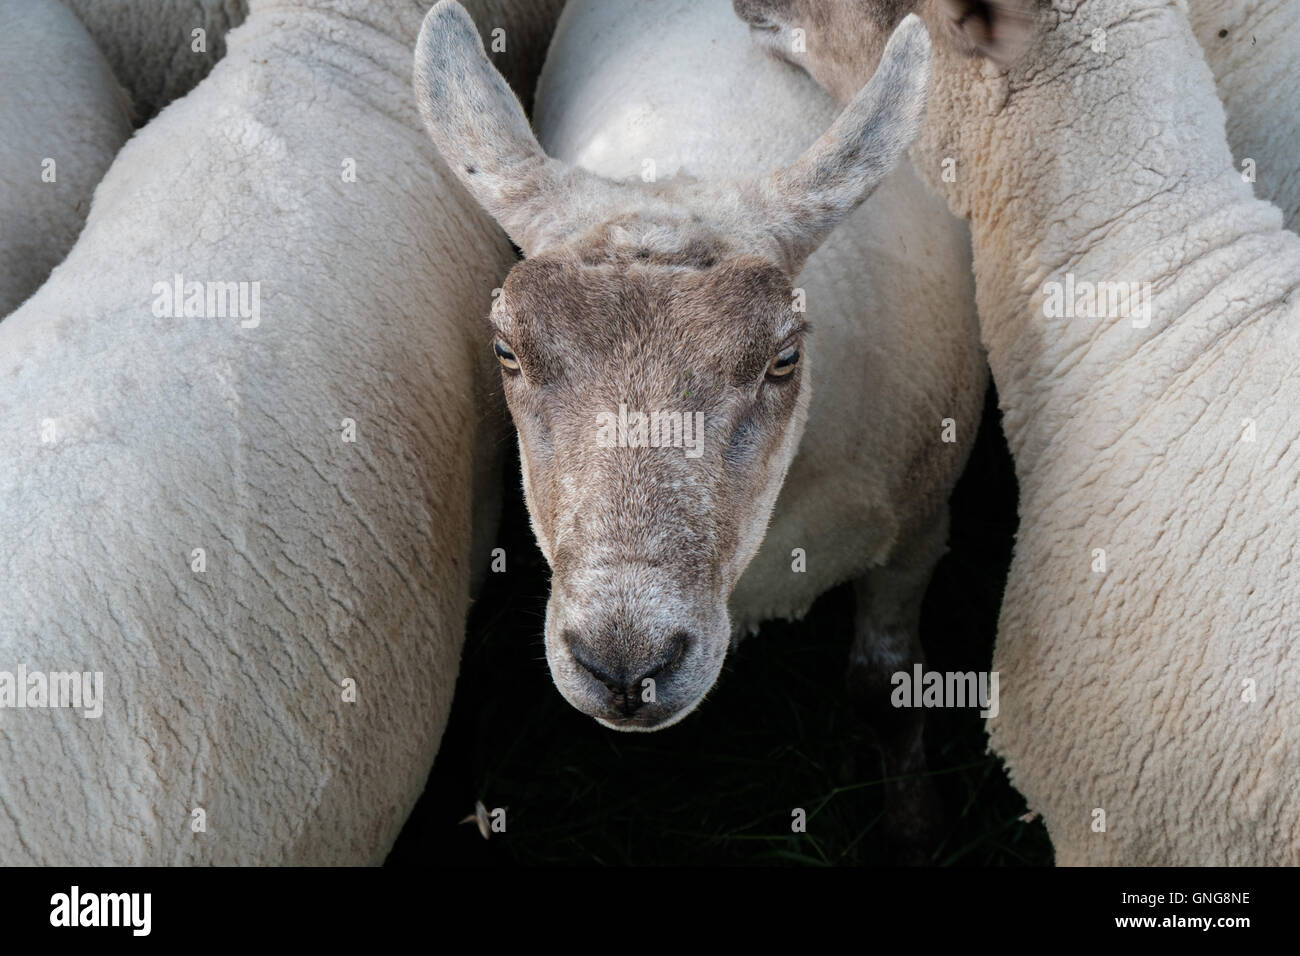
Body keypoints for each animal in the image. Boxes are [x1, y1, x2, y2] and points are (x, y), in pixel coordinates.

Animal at [414, 0, 986, 858]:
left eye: (784, 358)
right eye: (506, 351)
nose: (625, 666)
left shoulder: (919, 528)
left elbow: (885, 690)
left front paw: (916, 832)